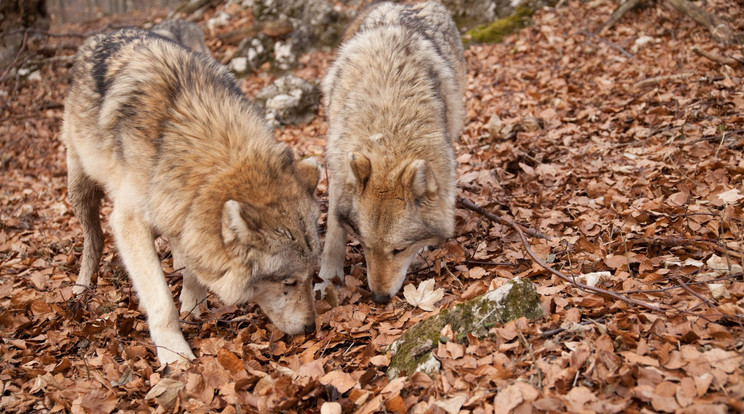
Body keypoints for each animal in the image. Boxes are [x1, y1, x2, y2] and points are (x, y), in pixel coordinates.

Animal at [64, 29, 320, 364]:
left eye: (313, 275)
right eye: (288, 282)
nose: (311, 327)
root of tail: (101, 34)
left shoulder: (186, 211)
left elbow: (195, 264)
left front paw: (194, 307)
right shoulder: (129, 221)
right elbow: (161, 301)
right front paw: (175, 354)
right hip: (81, 189)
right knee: (93, 239)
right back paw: (82, 286)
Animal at [318, 0, 464, 304]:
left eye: (398, 250)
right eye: (364, 245)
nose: (379, 297)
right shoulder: (337, 171)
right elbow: (335, 231)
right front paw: (328, 278)